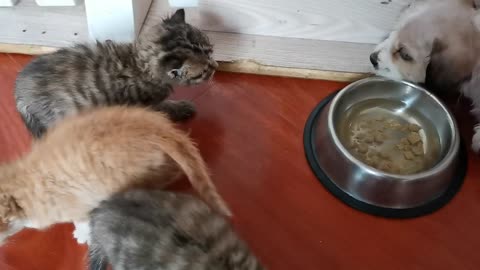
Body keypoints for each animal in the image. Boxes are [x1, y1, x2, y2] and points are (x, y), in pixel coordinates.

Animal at [14, 9, 218, 138]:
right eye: (204, 71)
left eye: (211, 51)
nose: (215, 67)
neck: (138, 63)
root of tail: (18, 92)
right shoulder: (146, 104)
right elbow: (165, 107)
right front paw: (182, 107)